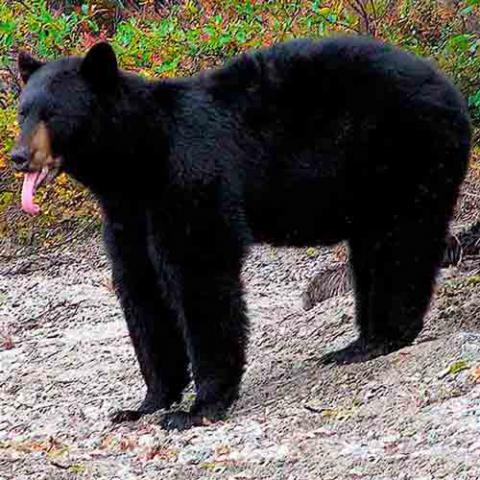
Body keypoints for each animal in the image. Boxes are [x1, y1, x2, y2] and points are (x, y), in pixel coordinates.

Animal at [11, 35, 472, 430]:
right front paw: (146, 402)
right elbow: (141, 291)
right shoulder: (128, 214)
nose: (18, 156)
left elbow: (200, 276)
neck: (138, 162)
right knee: (373, 250)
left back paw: (387, 337)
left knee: (403, 242)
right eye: (23, 111)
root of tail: (450, 89)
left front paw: (198, 407)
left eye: (52, 113)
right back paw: (359, 344)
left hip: (406, 153)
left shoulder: (190, 181)